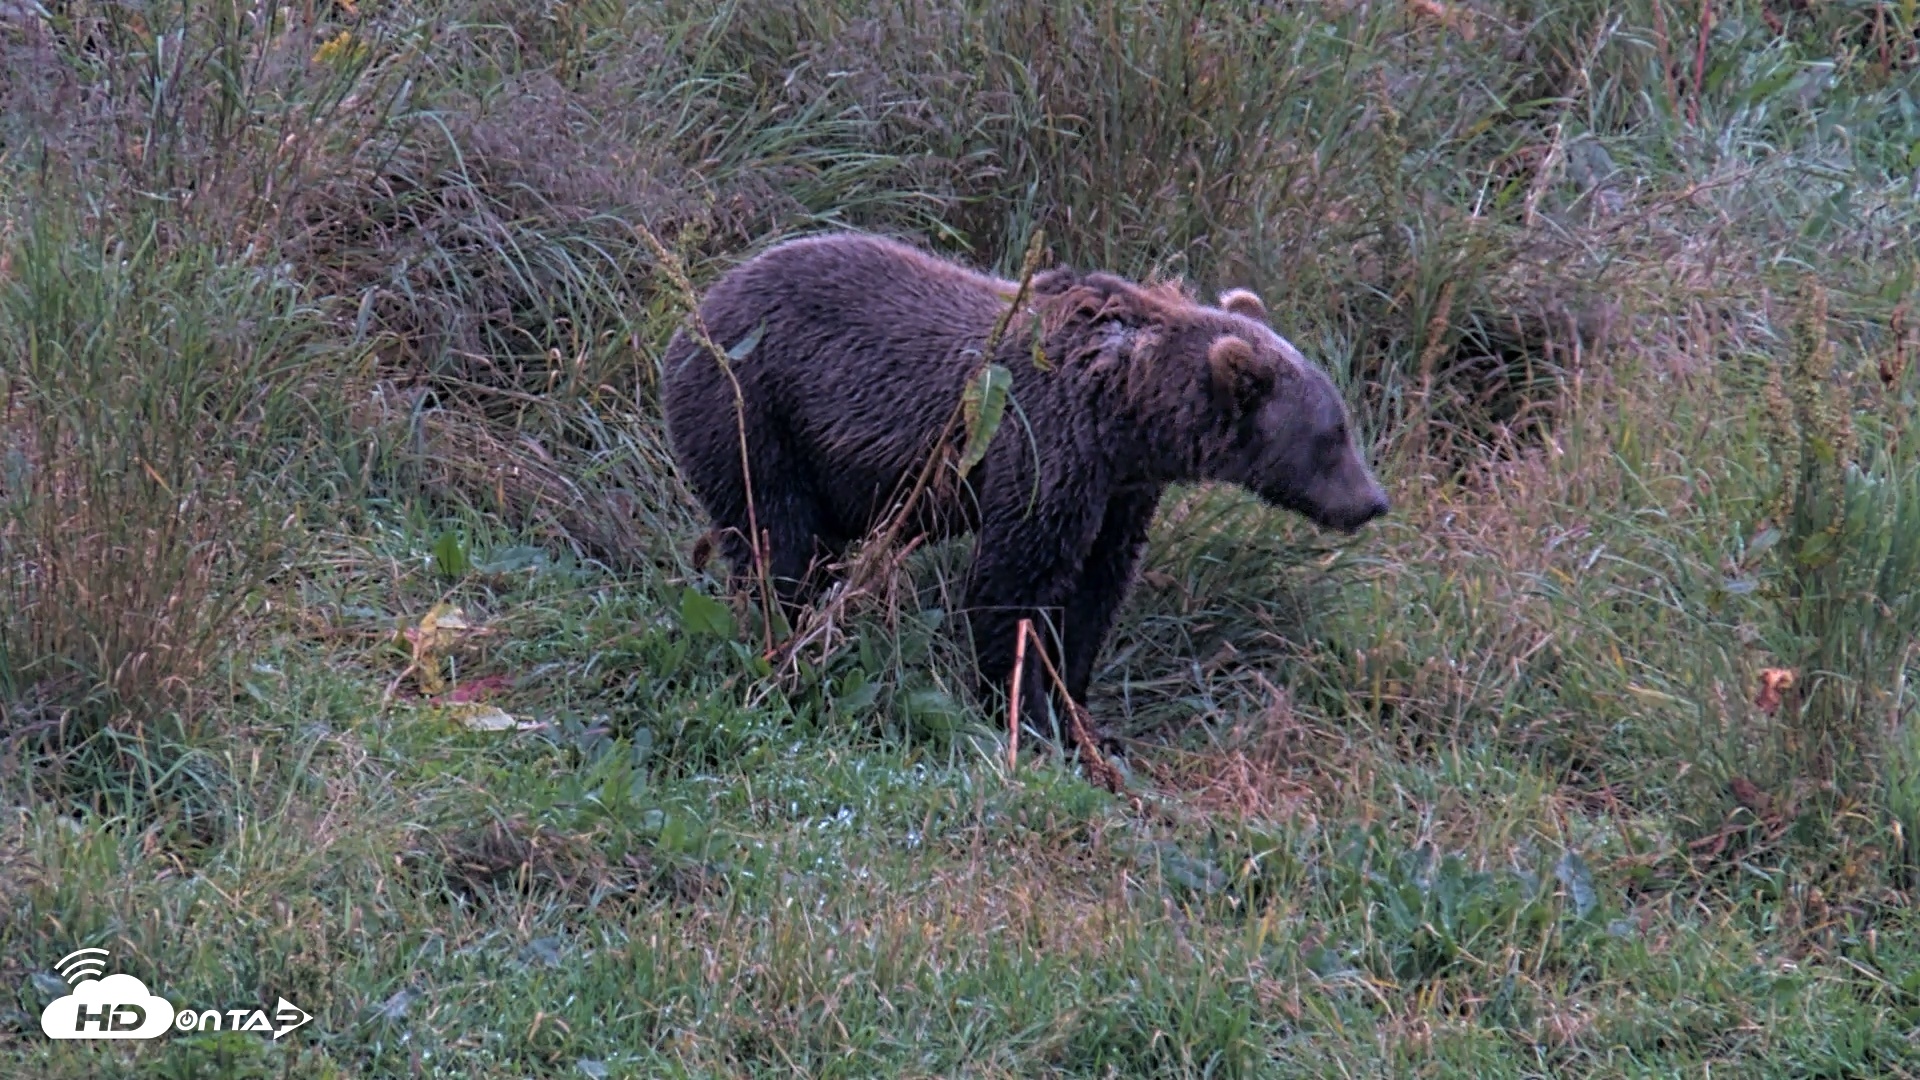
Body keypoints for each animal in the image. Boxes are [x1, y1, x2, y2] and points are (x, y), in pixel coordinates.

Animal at [660, 231, 1388, 731]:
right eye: (1332, 436)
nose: (1373, 501)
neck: (1129, 410)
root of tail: (699, 306)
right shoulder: (1045, 445)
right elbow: (1015, 582)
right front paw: (1026, 712)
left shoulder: (1119, 489)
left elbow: (1096, 587)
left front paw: (1078, 705)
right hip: (757, 411)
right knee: (776, 536)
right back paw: (788, 633)